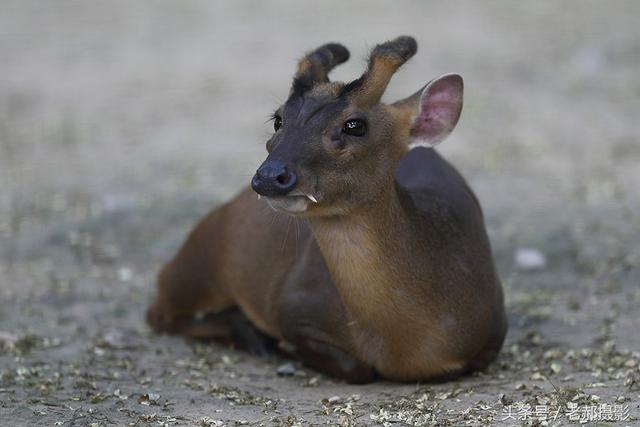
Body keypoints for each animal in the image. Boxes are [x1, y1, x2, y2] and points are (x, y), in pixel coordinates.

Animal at [148, 37, 508, 384]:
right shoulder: (293, 305)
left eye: (354, 125)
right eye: (278, 118)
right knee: (158, 310)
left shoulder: (495, 330)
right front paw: (282, 345)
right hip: (202, 258)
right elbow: (355, 368)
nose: (269, 176)